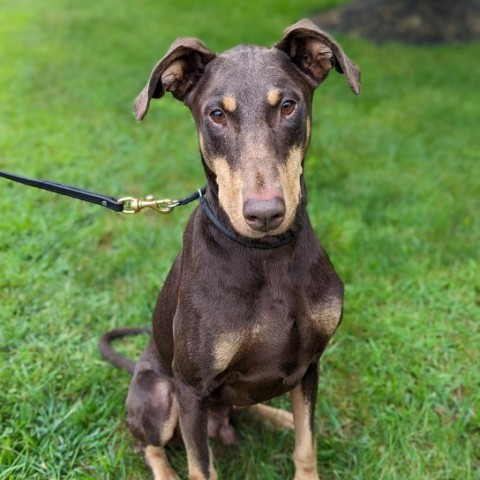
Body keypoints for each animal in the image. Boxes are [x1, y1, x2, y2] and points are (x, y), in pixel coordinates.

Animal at [98, 18, 360, 480]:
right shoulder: (190, 389)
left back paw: (280, 416)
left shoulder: (310, 363)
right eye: (216, 114)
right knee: (150, 445)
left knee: (254, 406)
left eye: (288, 105)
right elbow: (201, 468)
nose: (265, 213)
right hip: (160, 391)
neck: (266, 255)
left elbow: (306, 444)